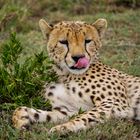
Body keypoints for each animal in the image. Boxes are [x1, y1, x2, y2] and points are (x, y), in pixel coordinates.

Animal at [12, 18, 140, 133]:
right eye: (63, 42)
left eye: (87, 41)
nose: (78, 57)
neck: (65, 75)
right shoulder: (67, 110)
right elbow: (23, 110)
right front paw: (20, 120)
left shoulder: (115, 103)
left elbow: (85, 116)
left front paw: (63, 128)